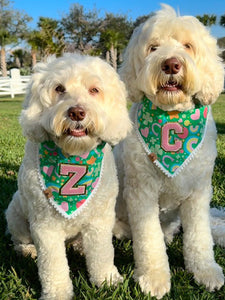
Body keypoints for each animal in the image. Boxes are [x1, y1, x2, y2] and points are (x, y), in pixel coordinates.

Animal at [5, 54, 132, 300]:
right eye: (59, 88)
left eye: (94, 90)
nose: (77, 112)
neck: (73, 154)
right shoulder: (45, 226)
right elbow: (52, 264)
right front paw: (57, 292)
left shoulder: (100, 220)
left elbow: (102, 253)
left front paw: (107, 279)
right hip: (15, 211)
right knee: (19, 239)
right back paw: (27, 250)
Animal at [114, 4, 225, 300]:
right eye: (153, 47)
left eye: (188, 46)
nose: (172, 64)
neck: (172, 116)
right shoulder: (141, 193)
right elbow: (148, 239)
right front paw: (154, 277)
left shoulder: (199, 191)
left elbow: (199, 236)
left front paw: (206, 271)